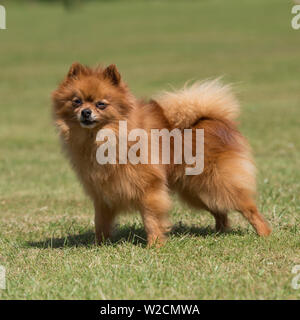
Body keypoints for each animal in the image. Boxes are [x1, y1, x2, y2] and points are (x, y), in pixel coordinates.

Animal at [52, 63, 272, 248]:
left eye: (101, 104)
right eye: (76, 101)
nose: (85, 112)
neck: (108, 137)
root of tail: (214, 119)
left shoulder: (149, 188)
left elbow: (151, 219)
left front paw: (155, 245)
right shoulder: (102, 193)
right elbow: (101, 222)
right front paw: (99, 245)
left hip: (217, 183)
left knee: (247, 207)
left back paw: (264, 233)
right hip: (196, 191)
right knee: (220, 211)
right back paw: (219, 232)